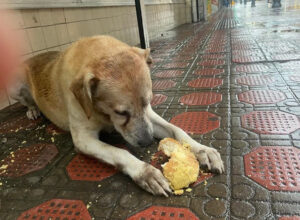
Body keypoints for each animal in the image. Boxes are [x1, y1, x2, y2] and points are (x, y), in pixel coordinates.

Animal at [9, 35, 224, 196]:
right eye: (121, 112)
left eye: (148, 101)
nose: (147, 141)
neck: (102, 113)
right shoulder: (83, 139)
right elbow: (120, 152)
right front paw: (145, 172)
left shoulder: (149, 116)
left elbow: (177, 130)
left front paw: (202, 150)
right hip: (14, 87)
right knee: (27, 102)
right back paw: (33, 109)